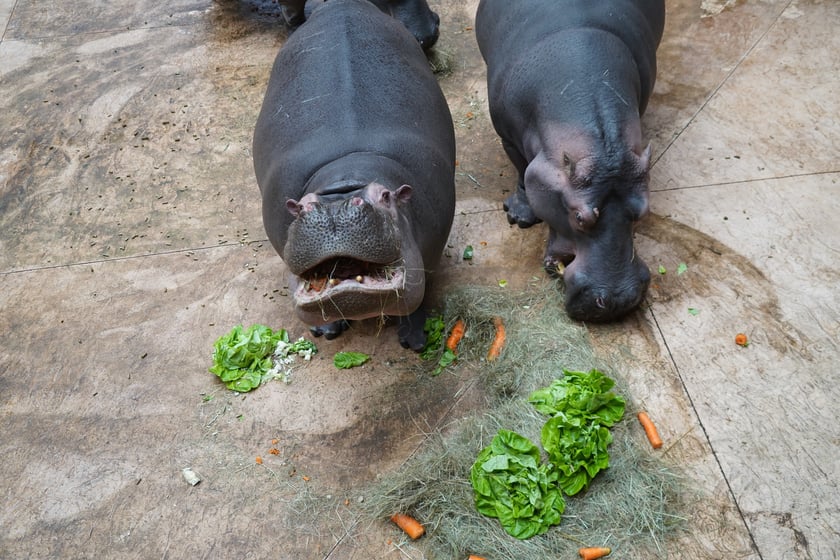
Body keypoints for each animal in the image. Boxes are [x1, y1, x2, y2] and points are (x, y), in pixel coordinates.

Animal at [253, 0, 456, 350]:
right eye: (300, 205)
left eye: (386, 196)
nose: (334, 212)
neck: (346, 177)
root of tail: (340, 5)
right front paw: (326, 330)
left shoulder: (431, 253)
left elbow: (418, 297)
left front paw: (414, 340)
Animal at [476, 0, 668, 322]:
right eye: (579, 217)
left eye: (643, 211)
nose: (618, 300)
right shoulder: (508, 138)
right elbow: (521, 172)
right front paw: (519, 217)